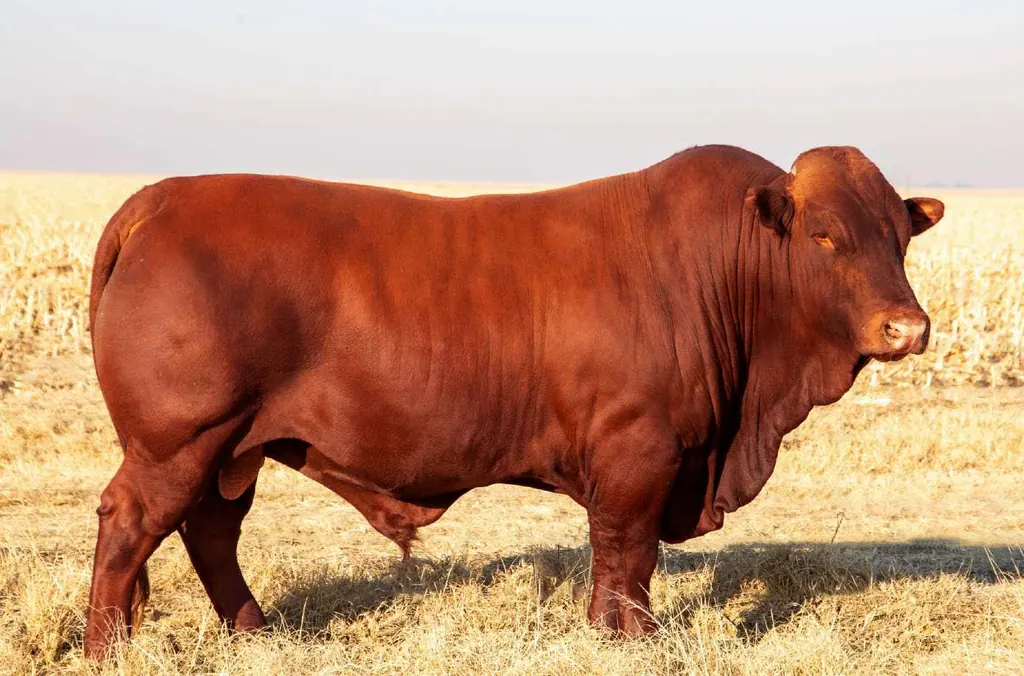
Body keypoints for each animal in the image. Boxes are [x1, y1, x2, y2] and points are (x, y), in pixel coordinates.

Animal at [83, 144, 944, 657]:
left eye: (899, 238)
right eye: (824, 236)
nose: (907, 327)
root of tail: (162, 198)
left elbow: (624, 554)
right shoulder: (640, 448)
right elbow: (626, 551)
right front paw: (629, 638)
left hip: (234, 447)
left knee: (209, 532)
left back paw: (257, 635)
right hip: (179, 439)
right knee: (132, 527)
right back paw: (106, 648)